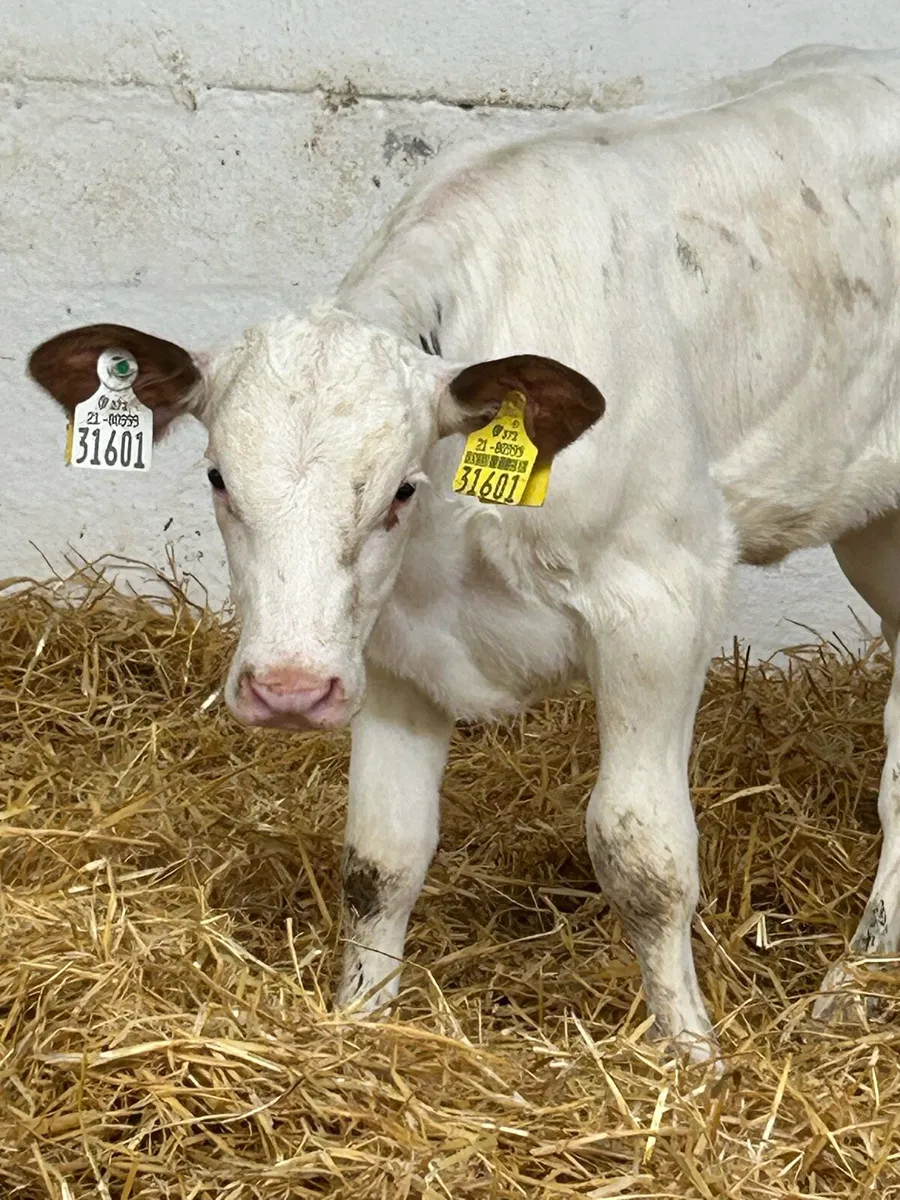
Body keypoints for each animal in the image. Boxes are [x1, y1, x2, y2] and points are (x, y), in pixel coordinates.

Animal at [28, 46, 900, 1063]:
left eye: (401, 489)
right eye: (216, 478)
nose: (289, 690)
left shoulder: (660, 597)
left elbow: (641, 854)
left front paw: (691, 1060)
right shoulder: (389, 642)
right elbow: (379, 858)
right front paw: (357, 1024)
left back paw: (851, 983)